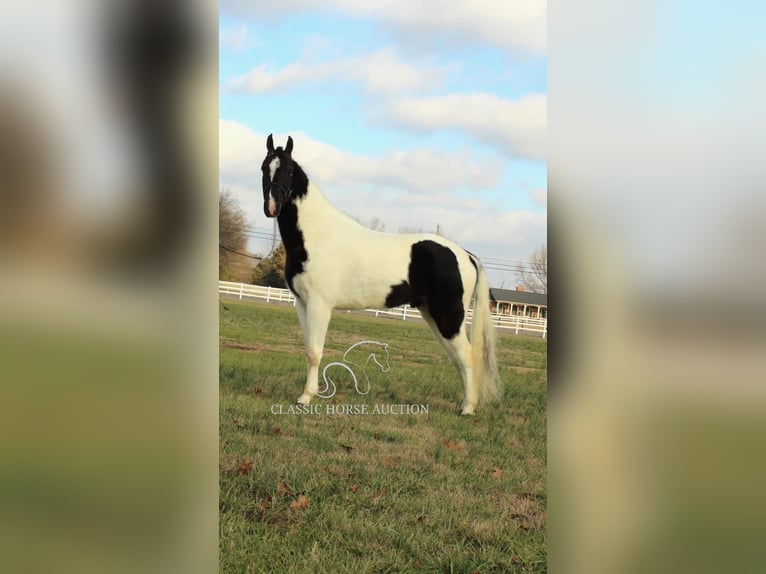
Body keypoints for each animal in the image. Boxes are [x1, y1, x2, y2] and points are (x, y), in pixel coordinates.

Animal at [264, 134, 504, 414]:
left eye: (290, 170)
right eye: (264, 168)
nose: (271, 207)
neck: (316, 234)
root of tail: (466, 255)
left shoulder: (319, 305)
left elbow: (315, 352)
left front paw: (306, 398)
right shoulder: (302, 304)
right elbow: (308, 350)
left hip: (449, 316)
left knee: (466, 357)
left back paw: (467, 408)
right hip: (433, 316)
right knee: (457, 358)